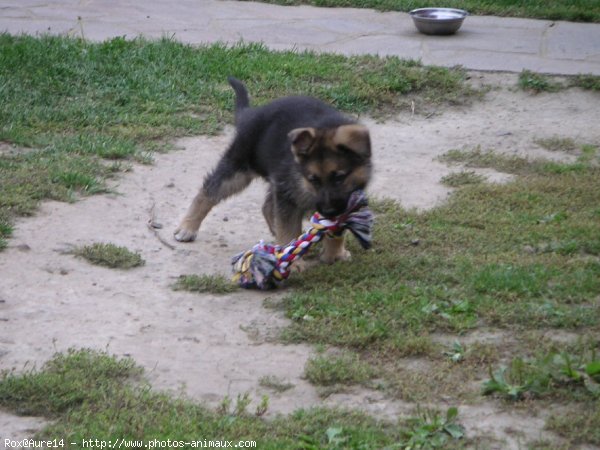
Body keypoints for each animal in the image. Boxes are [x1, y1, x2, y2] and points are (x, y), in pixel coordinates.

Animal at [173, 77, 370, 264]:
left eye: (340, 177)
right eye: (312, 179)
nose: (329, 210)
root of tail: (251, 114)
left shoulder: (345, 199)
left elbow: (336, 226)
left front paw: (335, 254)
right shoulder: (289, 193)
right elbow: (288, 228)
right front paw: (291, 258)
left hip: (276, 179)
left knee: (268, 207)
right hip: (240, 168)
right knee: (209, 190)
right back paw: (187, 227)